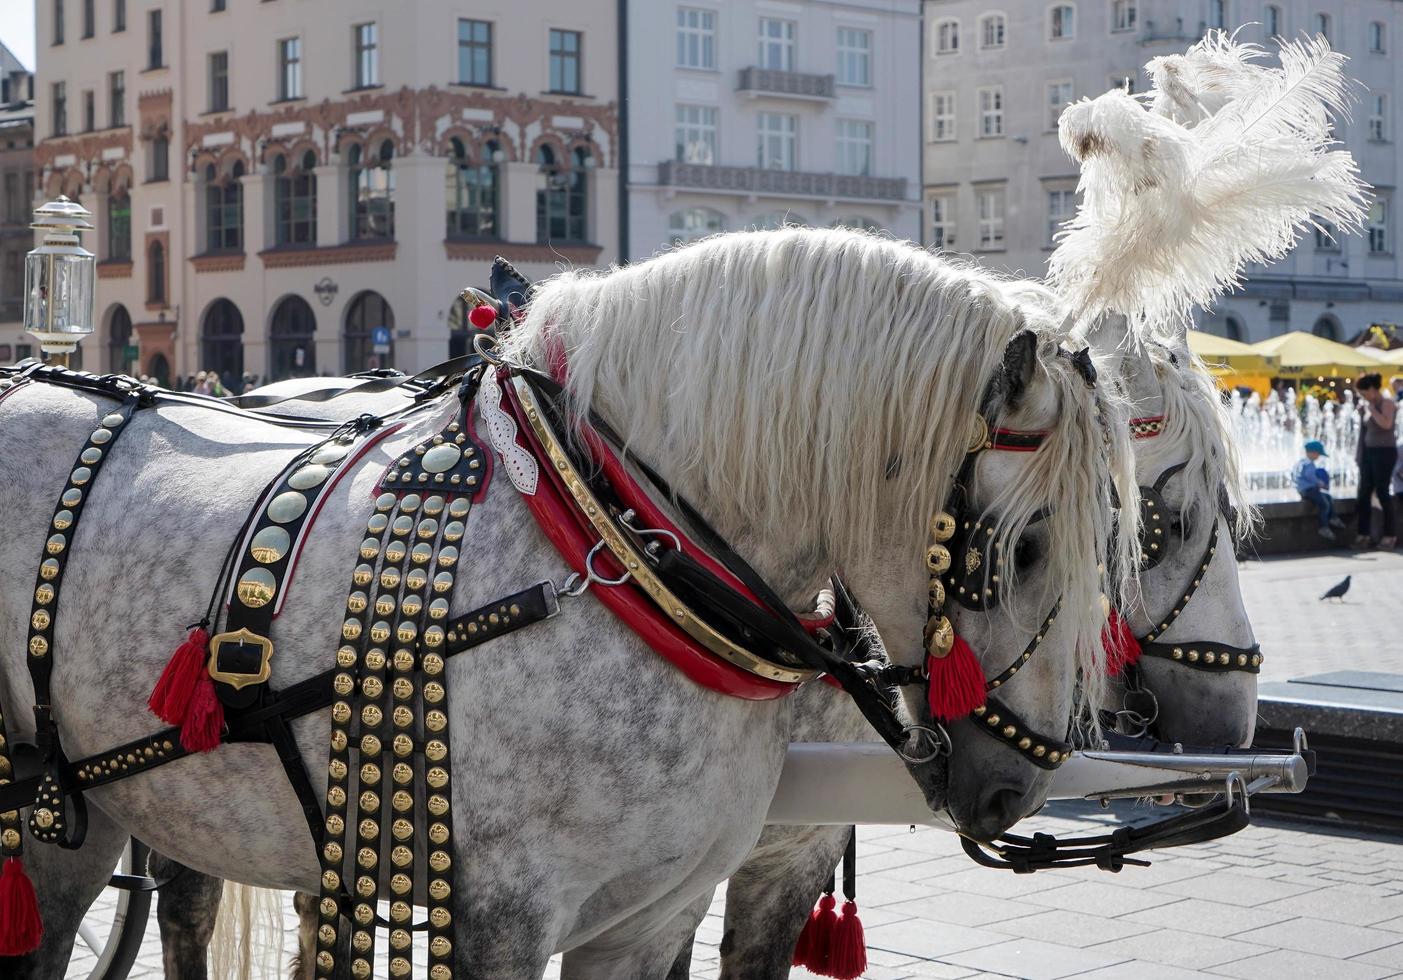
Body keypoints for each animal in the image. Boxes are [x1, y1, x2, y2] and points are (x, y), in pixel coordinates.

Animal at [0, 225, 1122, 975]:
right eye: (1021, 547)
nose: (1020, 786)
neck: (614, 544)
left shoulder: (658, 915)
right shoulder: (497, 914)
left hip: (85, 806)